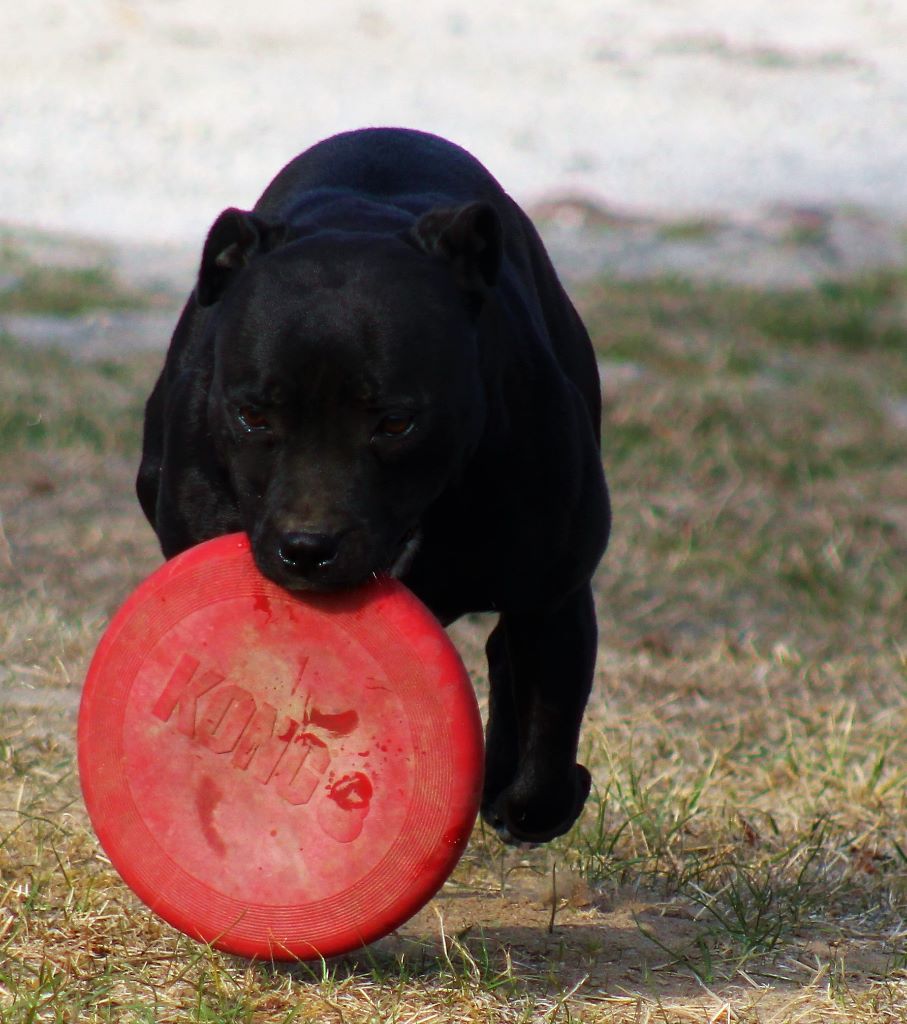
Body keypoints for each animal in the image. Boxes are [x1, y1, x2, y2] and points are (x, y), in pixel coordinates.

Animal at [138, 128, 610, 843]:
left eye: (395, 422)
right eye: (253, 416)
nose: (307, 548)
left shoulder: (553, 593)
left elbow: (549, 728)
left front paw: (535, 796)